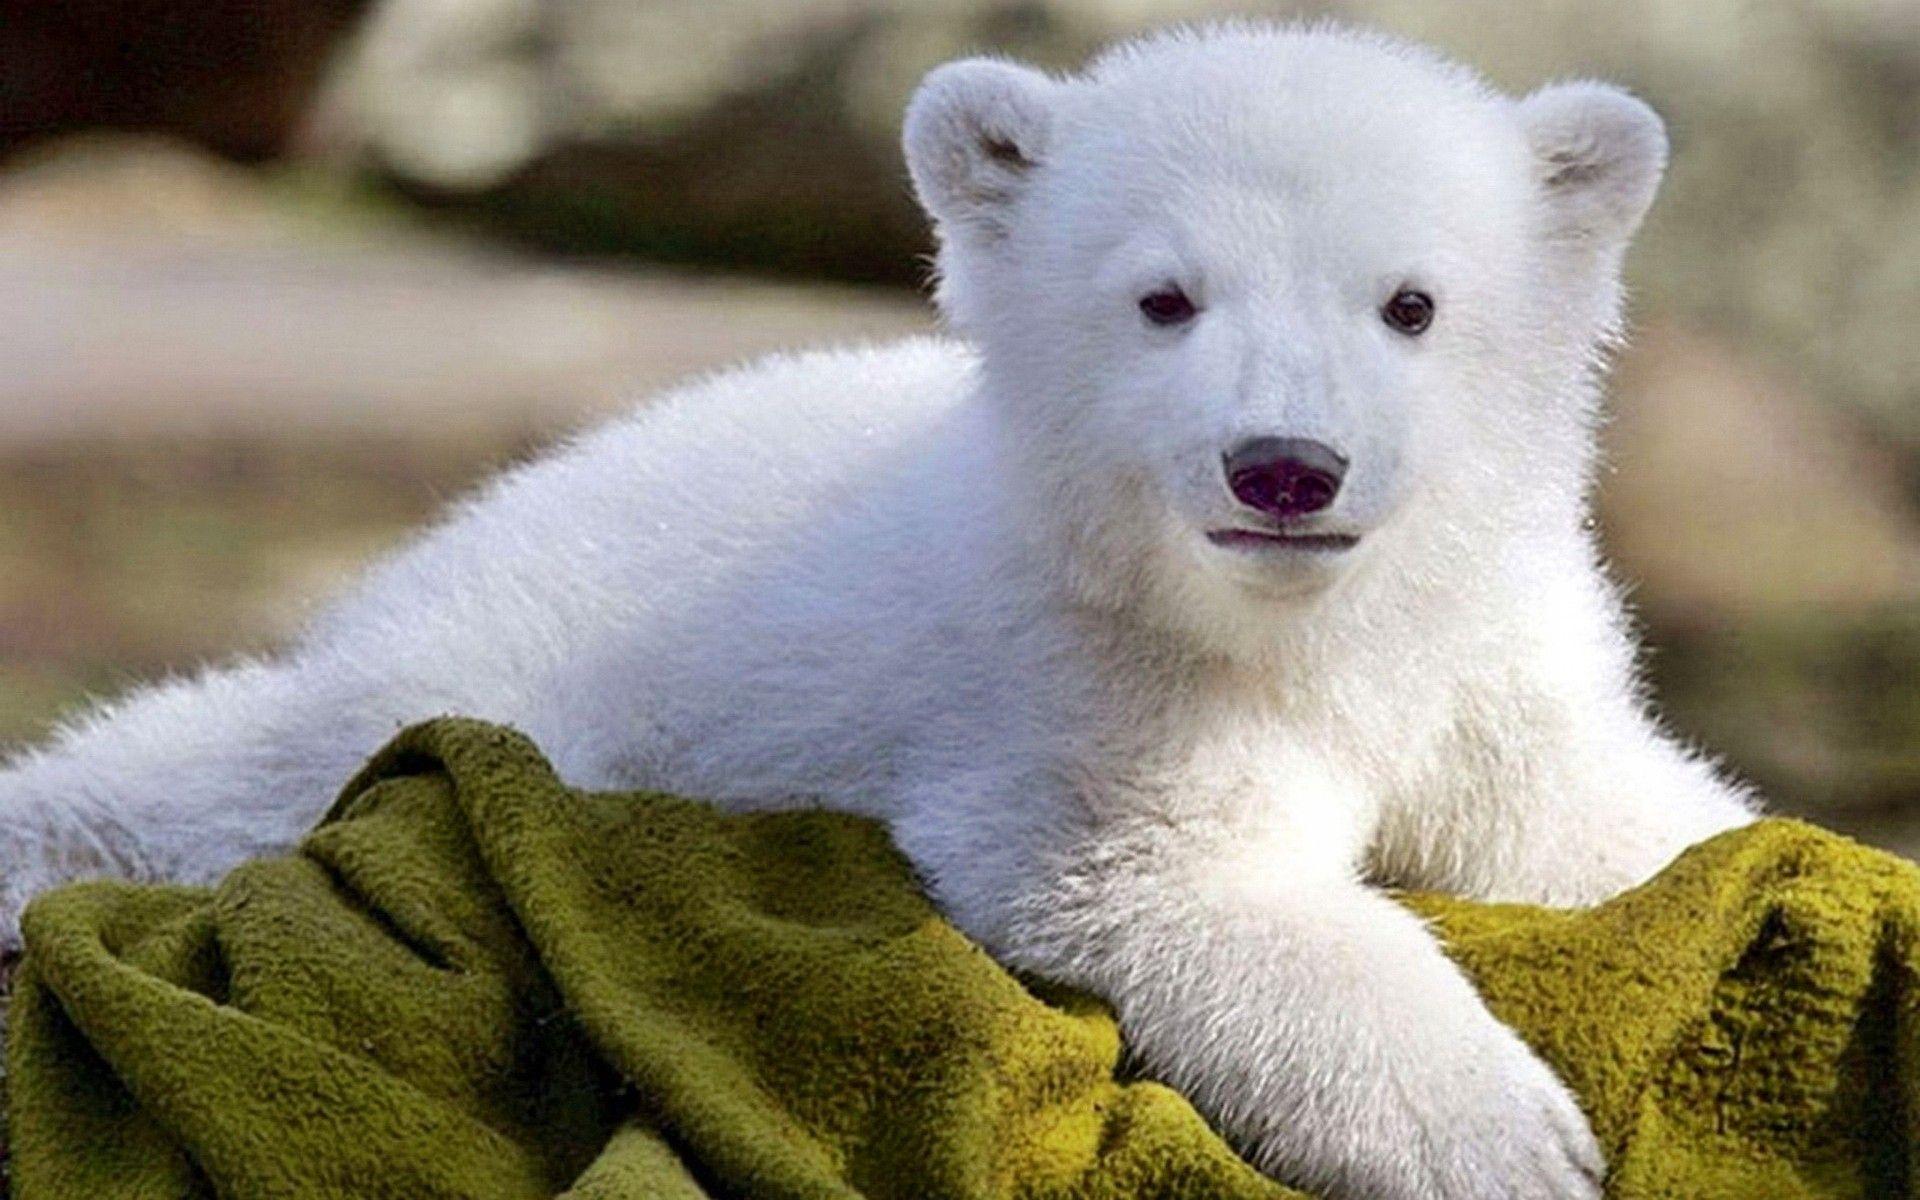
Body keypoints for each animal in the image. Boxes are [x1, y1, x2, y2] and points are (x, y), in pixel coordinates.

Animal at [0, 22, 1756, 1199]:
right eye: (1163, 297)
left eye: (1412, 304)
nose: (1284, 468)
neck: (1297, 623)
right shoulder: (1078, 683)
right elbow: (1177, 883)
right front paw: (1502, 1136)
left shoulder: (1486, 655)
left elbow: (1614, 817)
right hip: (498, 662)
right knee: (245, 762)